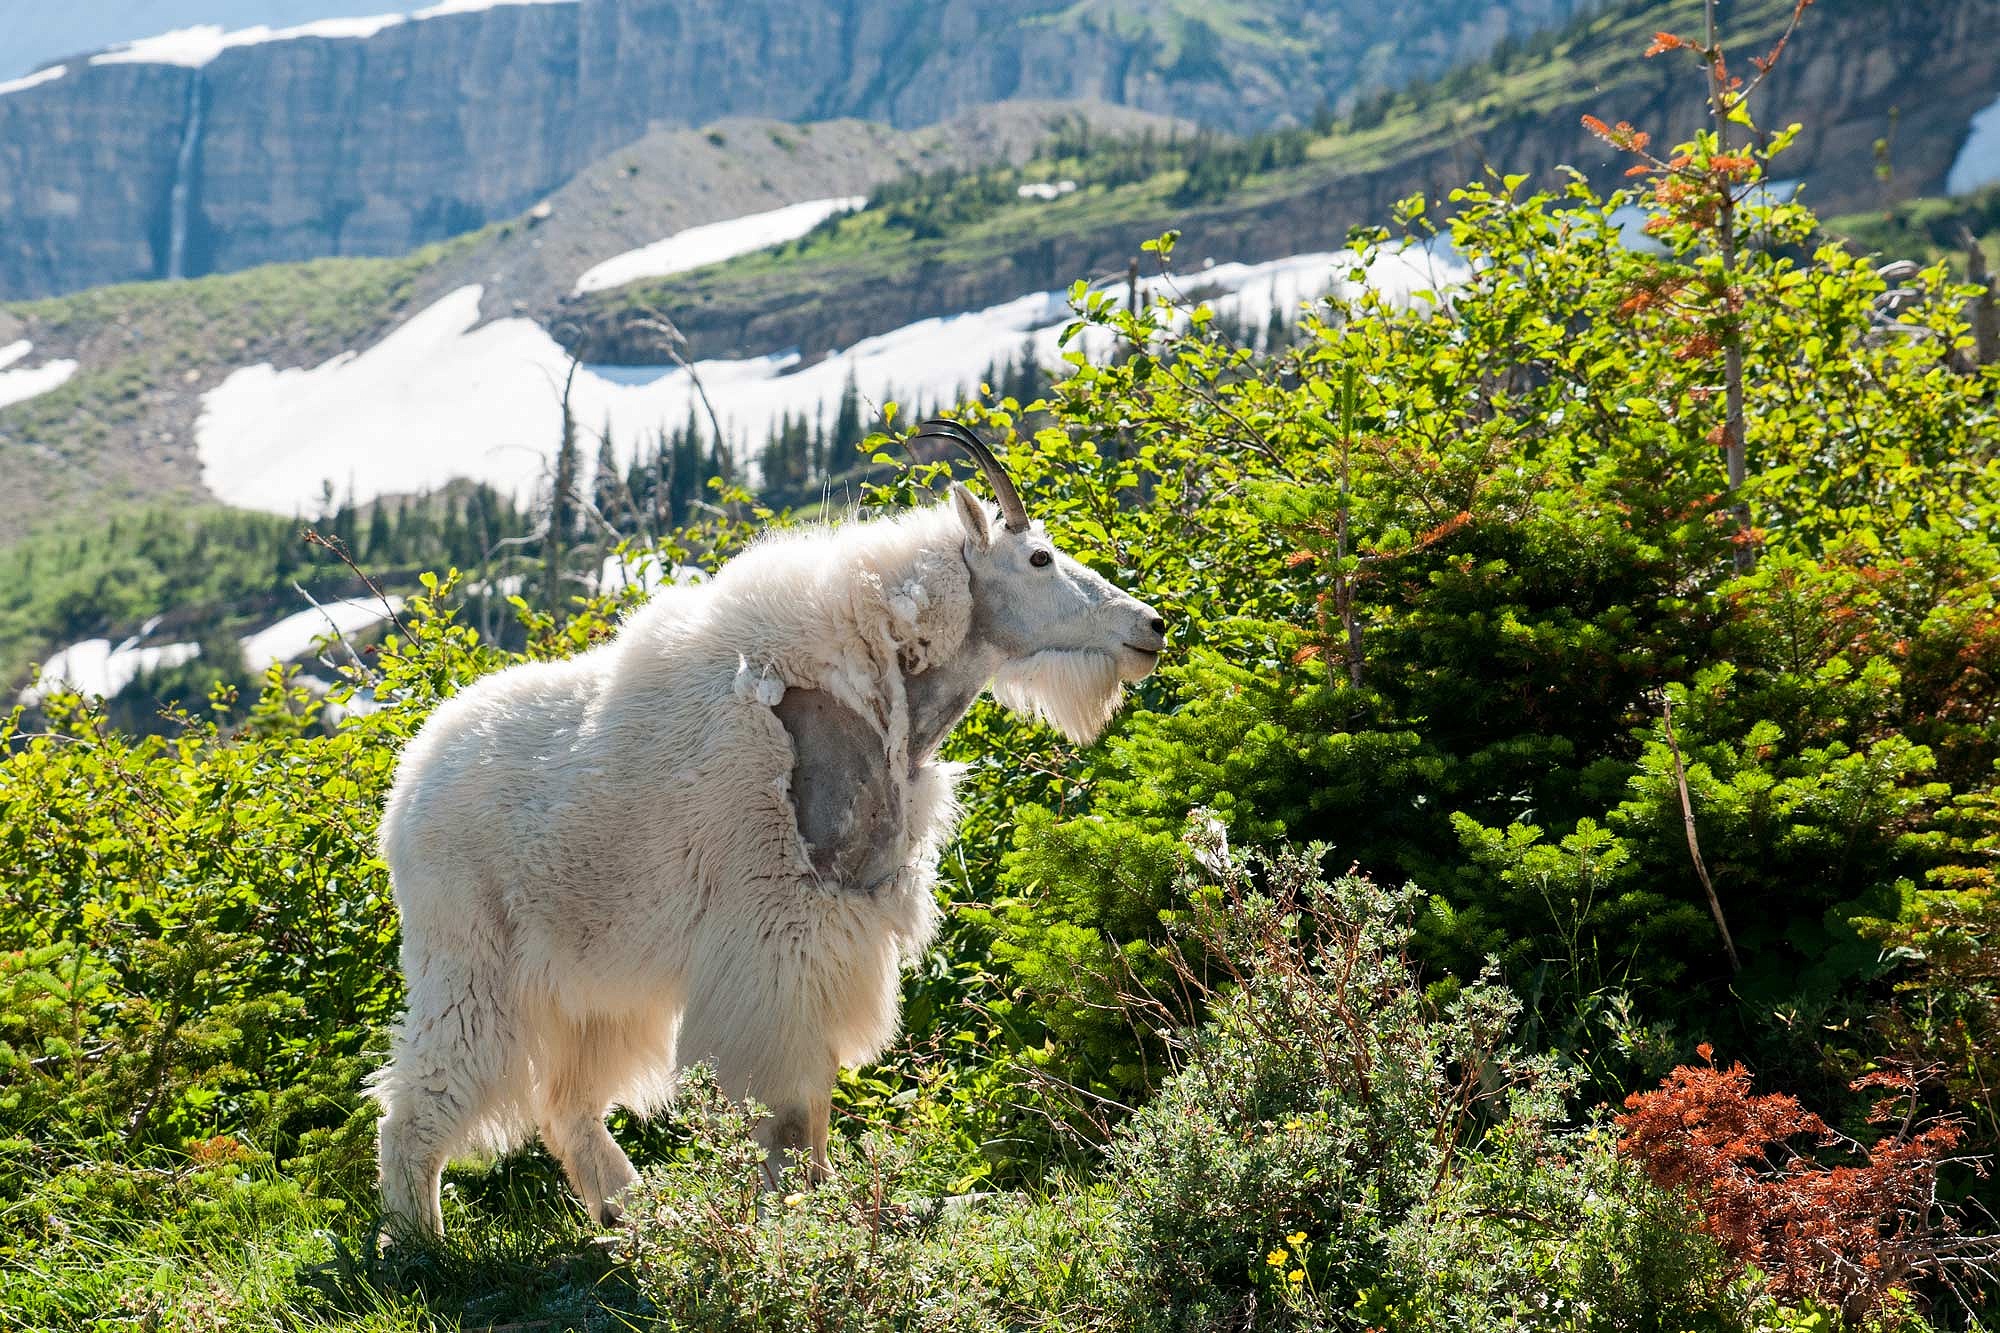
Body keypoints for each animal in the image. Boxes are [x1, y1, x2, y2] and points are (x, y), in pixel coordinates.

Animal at [368, 418, 1168, 1232]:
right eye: (1039, 557)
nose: (1151, 625)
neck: (873, 686)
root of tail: (406, 789)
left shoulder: (837, 937)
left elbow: (815, 1100)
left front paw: (819, 1202)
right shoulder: (779, 933)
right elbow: (785, 1107)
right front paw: (795, 1210)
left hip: (592, 986)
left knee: (569, 1106)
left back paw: (634, 1217)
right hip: (470, 956)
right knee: (420, 1100)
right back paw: (423, 1239)